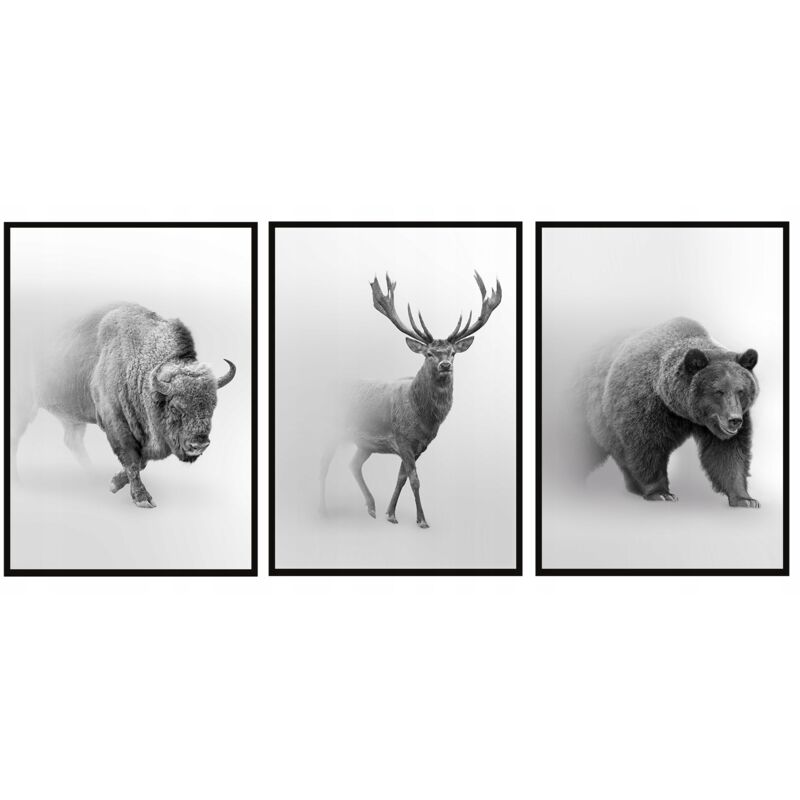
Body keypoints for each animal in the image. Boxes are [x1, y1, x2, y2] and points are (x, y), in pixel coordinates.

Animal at [11, 303, 236, 508]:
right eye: (175, 407)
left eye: (213, 406)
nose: (199, 444)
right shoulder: (116, 422)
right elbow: (132, 460)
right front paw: (142, 498)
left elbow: (141, 461)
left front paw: (113, 483)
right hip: (23, 406)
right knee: (15, 438)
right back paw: (18, 484)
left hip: (72, 417)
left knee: (71, 440)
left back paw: (93, 477)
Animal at [319, 271, 502, 528]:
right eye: (429, 353)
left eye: (453, 353)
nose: (445, 365)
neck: (424, 418)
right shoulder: (403, 439)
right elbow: (415, 480)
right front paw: (422, 520)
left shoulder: (419, 446)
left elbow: (401, 478)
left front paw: (390, 513)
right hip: (331, 429)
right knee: (323, 465)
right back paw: (324, 511)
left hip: (365, 443)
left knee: (353, 464)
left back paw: (372, 507)